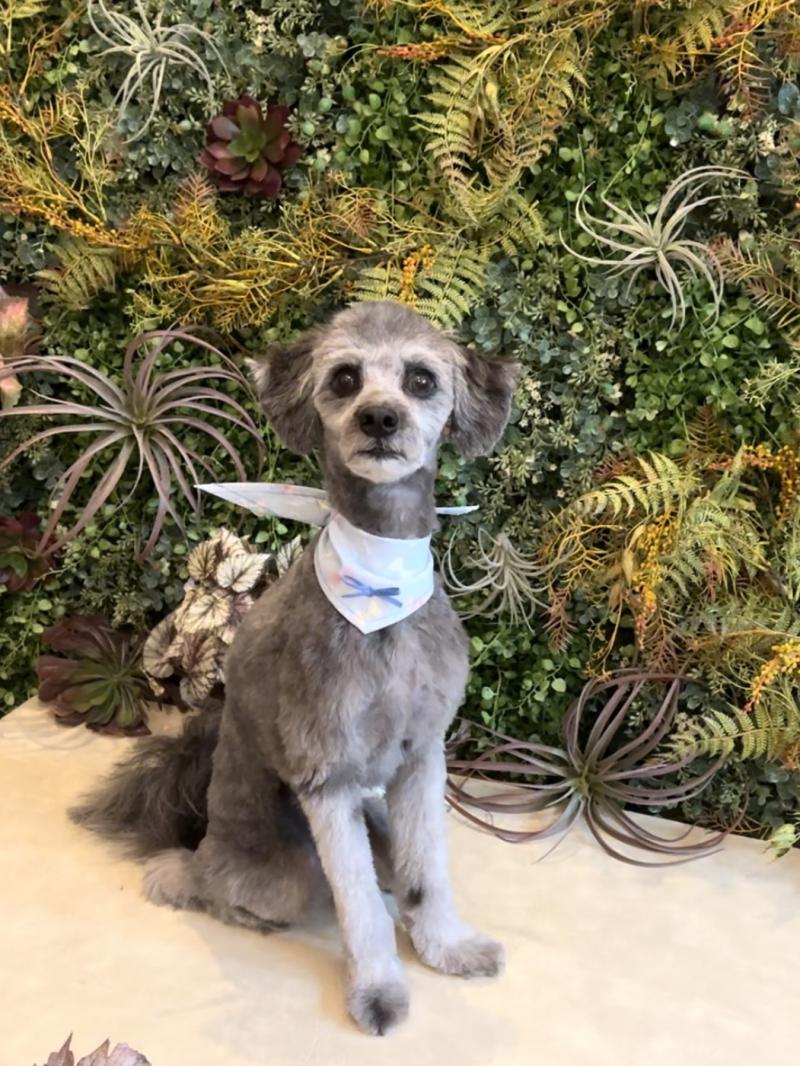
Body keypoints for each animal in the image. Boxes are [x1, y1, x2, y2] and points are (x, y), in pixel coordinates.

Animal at [72, 300, 518, 1035]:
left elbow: (428, 869)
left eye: (421, 379)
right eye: (344, 378)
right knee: (202, 882)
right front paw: (378, 990)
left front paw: (446, 946)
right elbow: (358, 906)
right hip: (275, 872)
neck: (379, 593)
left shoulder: (422, 755)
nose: (379, 418)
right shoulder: (325, 774)